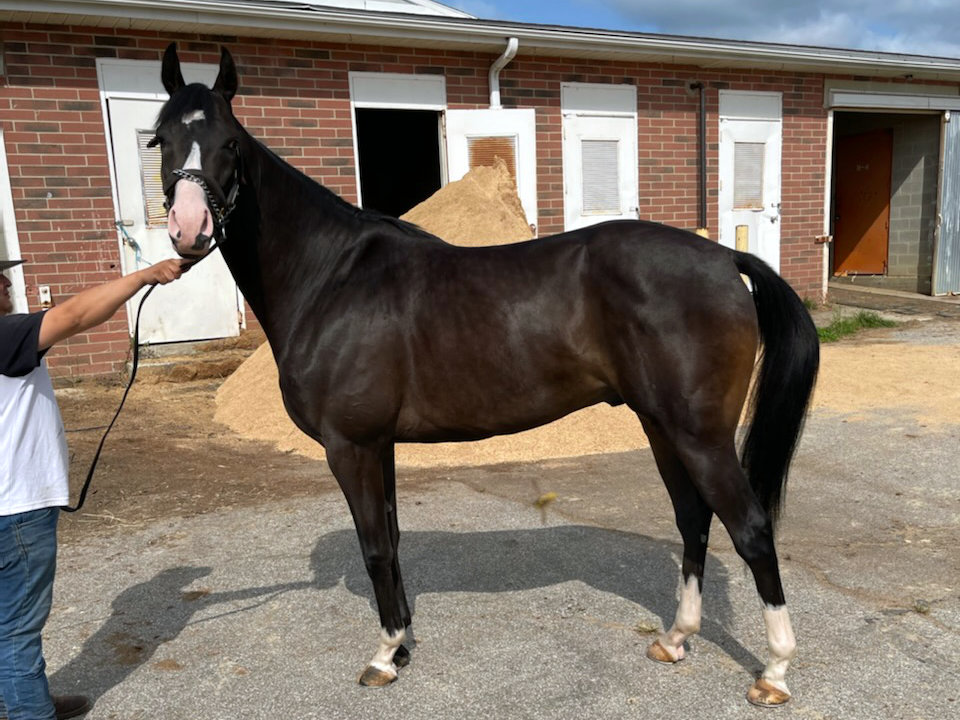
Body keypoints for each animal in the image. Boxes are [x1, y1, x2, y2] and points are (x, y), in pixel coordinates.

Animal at [152, 43, 819, 706]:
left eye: (230, 142)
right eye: (160, 138)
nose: (188, 230)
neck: (331, 276)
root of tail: (725, 257)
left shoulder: (351, 446)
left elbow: (374, 548)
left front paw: (384, 656)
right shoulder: (378, 446)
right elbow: (392, 539)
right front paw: (403, 642)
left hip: (699, 436)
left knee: (750, 528)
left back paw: (775, 672)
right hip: (661, 426)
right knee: (693, 519)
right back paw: (676, 639)